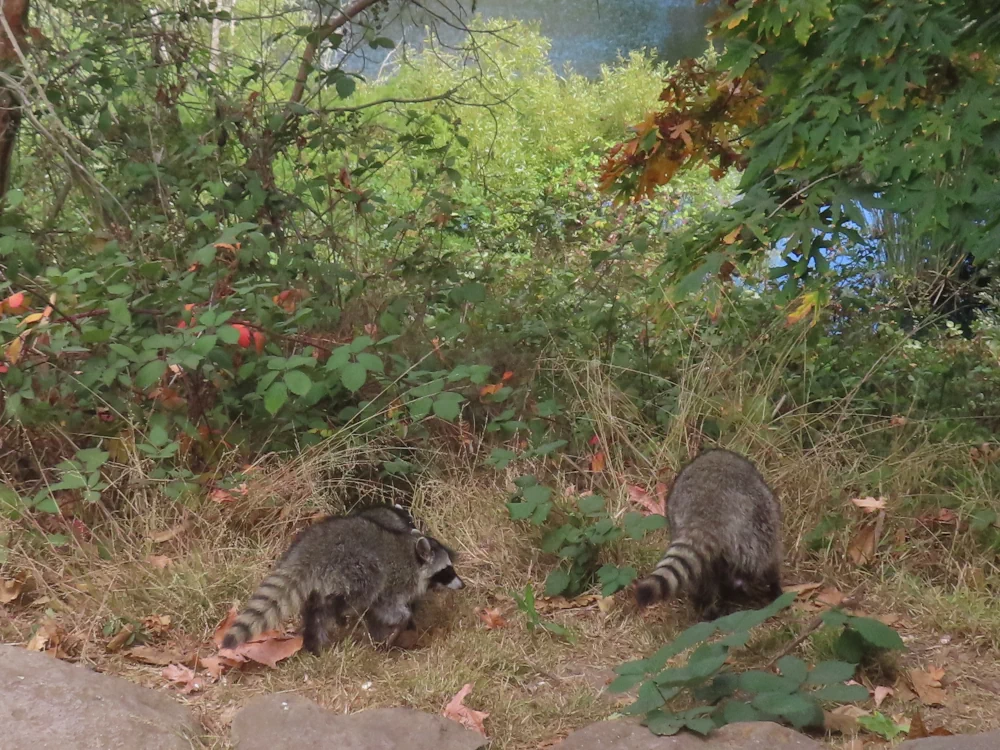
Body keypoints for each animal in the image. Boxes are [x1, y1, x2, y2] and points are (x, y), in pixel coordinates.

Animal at [221, 516, 462, 656]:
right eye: (447, 570)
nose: (462, 585)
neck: (412, 555)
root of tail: (312, 549)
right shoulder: (397, 581)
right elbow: (387, 606)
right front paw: (401, 621)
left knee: (316, 609)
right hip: (353, 563)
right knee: (362, 588)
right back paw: (338, 610)